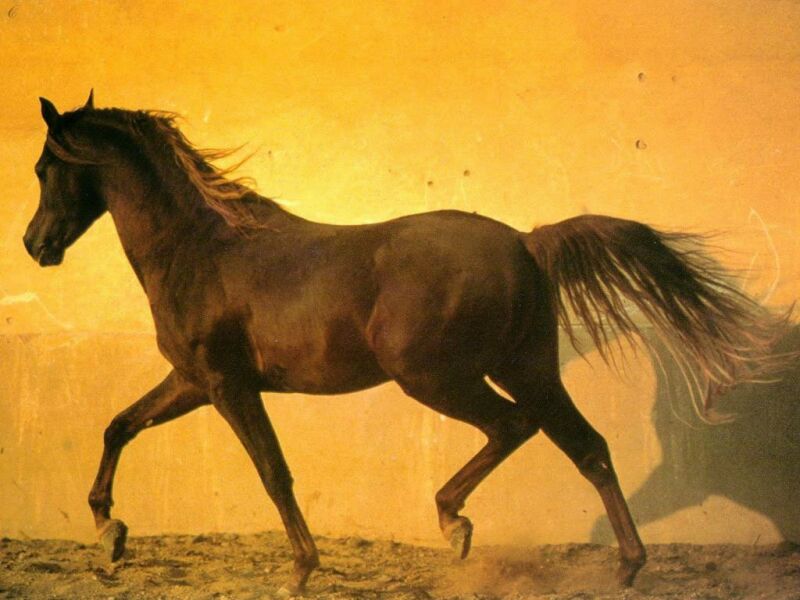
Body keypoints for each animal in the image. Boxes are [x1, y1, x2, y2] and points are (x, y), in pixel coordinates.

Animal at [23, 92, 789, 595]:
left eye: (42, 168)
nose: (35, 246)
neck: (203, 248)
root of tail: (524, 242)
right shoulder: (190, 381)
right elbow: (119, 425)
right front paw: (110, 535)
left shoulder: (226, 385)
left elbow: (273, 472)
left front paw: (301, 569)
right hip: (526, 368)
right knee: (585, 446)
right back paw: (622, 563)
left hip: (436, 376)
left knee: (517, 428)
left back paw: (458, 525)